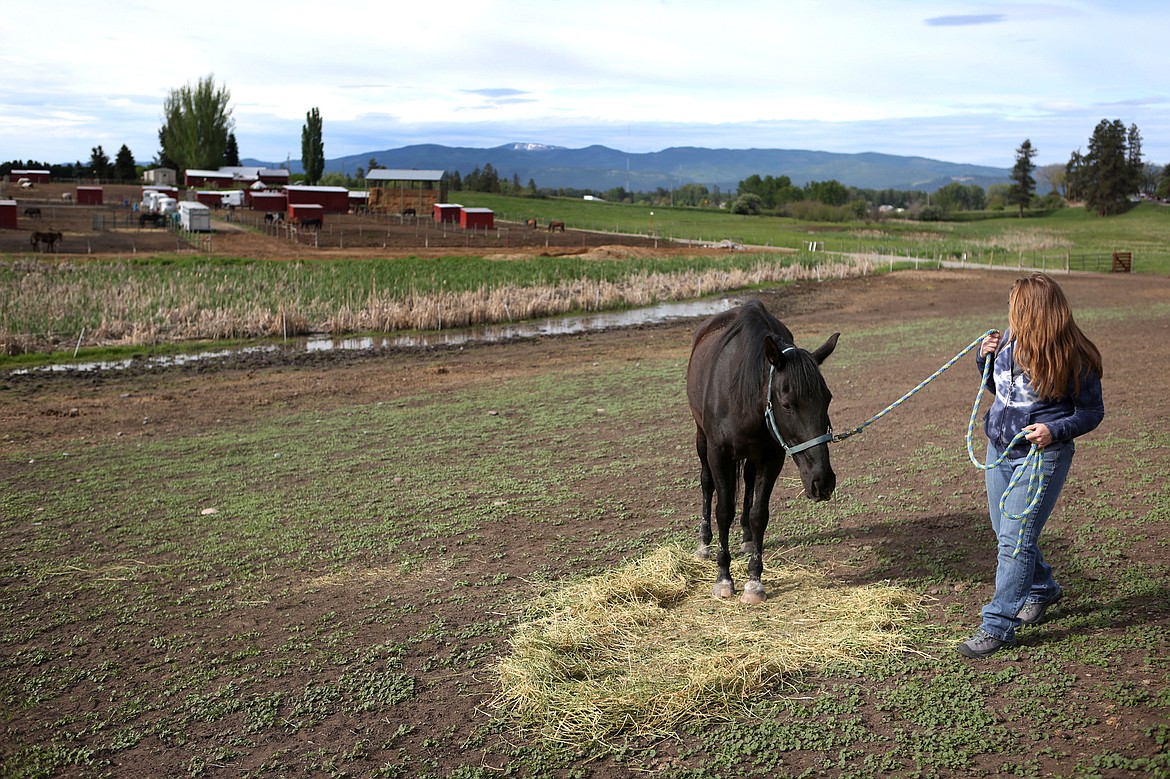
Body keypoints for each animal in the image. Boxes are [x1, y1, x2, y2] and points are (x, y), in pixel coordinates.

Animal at [683, 297, 842, 598]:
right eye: (788, 404)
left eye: (827, 399)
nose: (823, 482)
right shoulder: (718, 454)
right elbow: (724, 510)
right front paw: (724, 578)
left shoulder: (772, 456)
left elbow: (759, 514)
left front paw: (754, 580)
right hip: (701, 437)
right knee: (707, 484)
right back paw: (704, 543)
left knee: (746, 483)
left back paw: (746, 538)